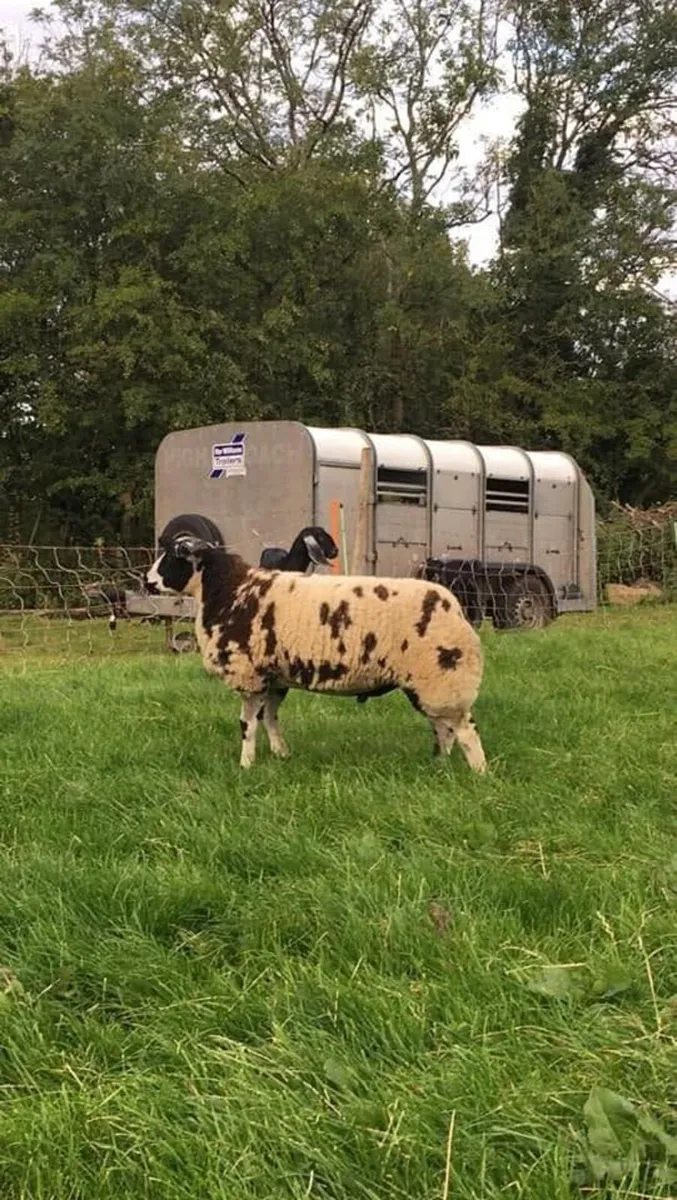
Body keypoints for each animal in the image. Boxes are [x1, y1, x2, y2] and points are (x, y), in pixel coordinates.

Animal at [145, 533, 487, 773]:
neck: (230, 590)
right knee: (444, 729)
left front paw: (246, 765)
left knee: (465, 729)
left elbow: (247, 725)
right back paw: (439, 766)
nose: (147, 582)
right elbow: (270, 718)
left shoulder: (250, 675)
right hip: (430, 684)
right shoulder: (274, 678)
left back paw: (478, 773)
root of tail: (455, 607)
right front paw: (282, 755)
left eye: (173, 556)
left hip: (443, 680)